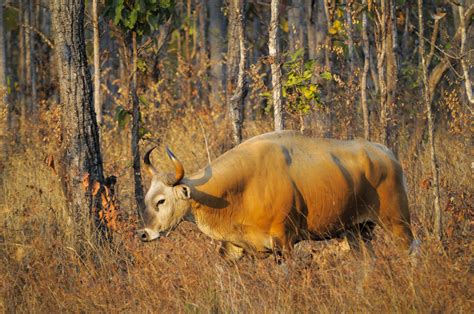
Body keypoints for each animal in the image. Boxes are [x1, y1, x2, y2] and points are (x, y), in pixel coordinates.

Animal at [136, 130, 414, 260]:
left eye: (161, 201)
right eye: (147, 199)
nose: (143, 234)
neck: (243, 187)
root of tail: (387, 153)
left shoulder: (284, 242)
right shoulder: (235, 247)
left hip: (398, 222)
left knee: (412, 250)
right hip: (357, 232)